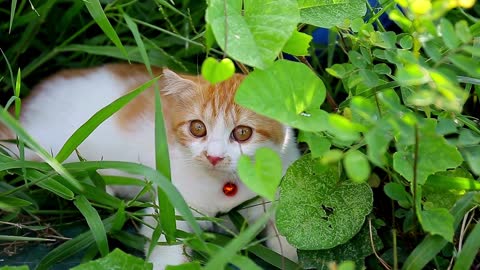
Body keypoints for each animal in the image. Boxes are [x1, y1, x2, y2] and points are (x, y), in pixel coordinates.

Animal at [0, 63, 298, 268]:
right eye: (197, 128)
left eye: (243, 133)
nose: (213, 156)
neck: (224, 184)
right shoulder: (170, 206)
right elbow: (167, 244)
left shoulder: (281, 188)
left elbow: (289, 234)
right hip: (43, 144)